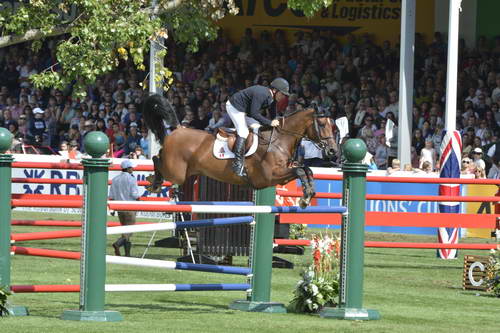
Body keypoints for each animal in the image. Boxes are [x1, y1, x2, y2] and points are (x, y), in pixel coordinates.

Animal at [141, 94, 336, 208]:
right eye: (322, 124)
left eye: (333, 125)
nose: (333, 151)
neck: (279, 140)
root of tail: (178, 129)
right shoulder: (269, 176)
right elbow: (300, 171)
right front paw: (305, 197)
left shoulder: (282, 173)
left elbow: (306, 169)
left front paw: (308, 195)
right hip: (176, 172)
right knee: (156, 158)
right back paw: (154, 182)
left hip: (185, 172)